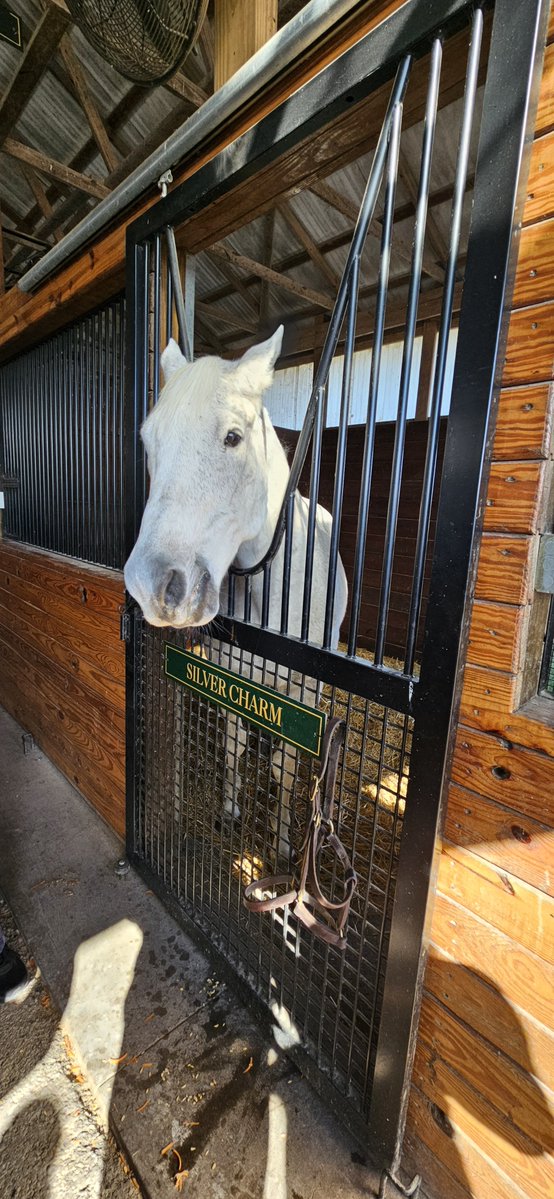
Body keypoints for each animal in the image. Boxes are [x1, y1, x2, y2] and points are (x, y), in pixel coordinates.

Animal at [124, 326, 347, 859]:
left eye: (233, 437)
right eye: (149, 440)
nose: (151, 585)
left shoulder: (302, 693)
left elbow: (285, 768)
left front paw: (284, 843)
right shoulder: (232, 673)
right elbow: (233, 743)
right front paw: (229, 810)